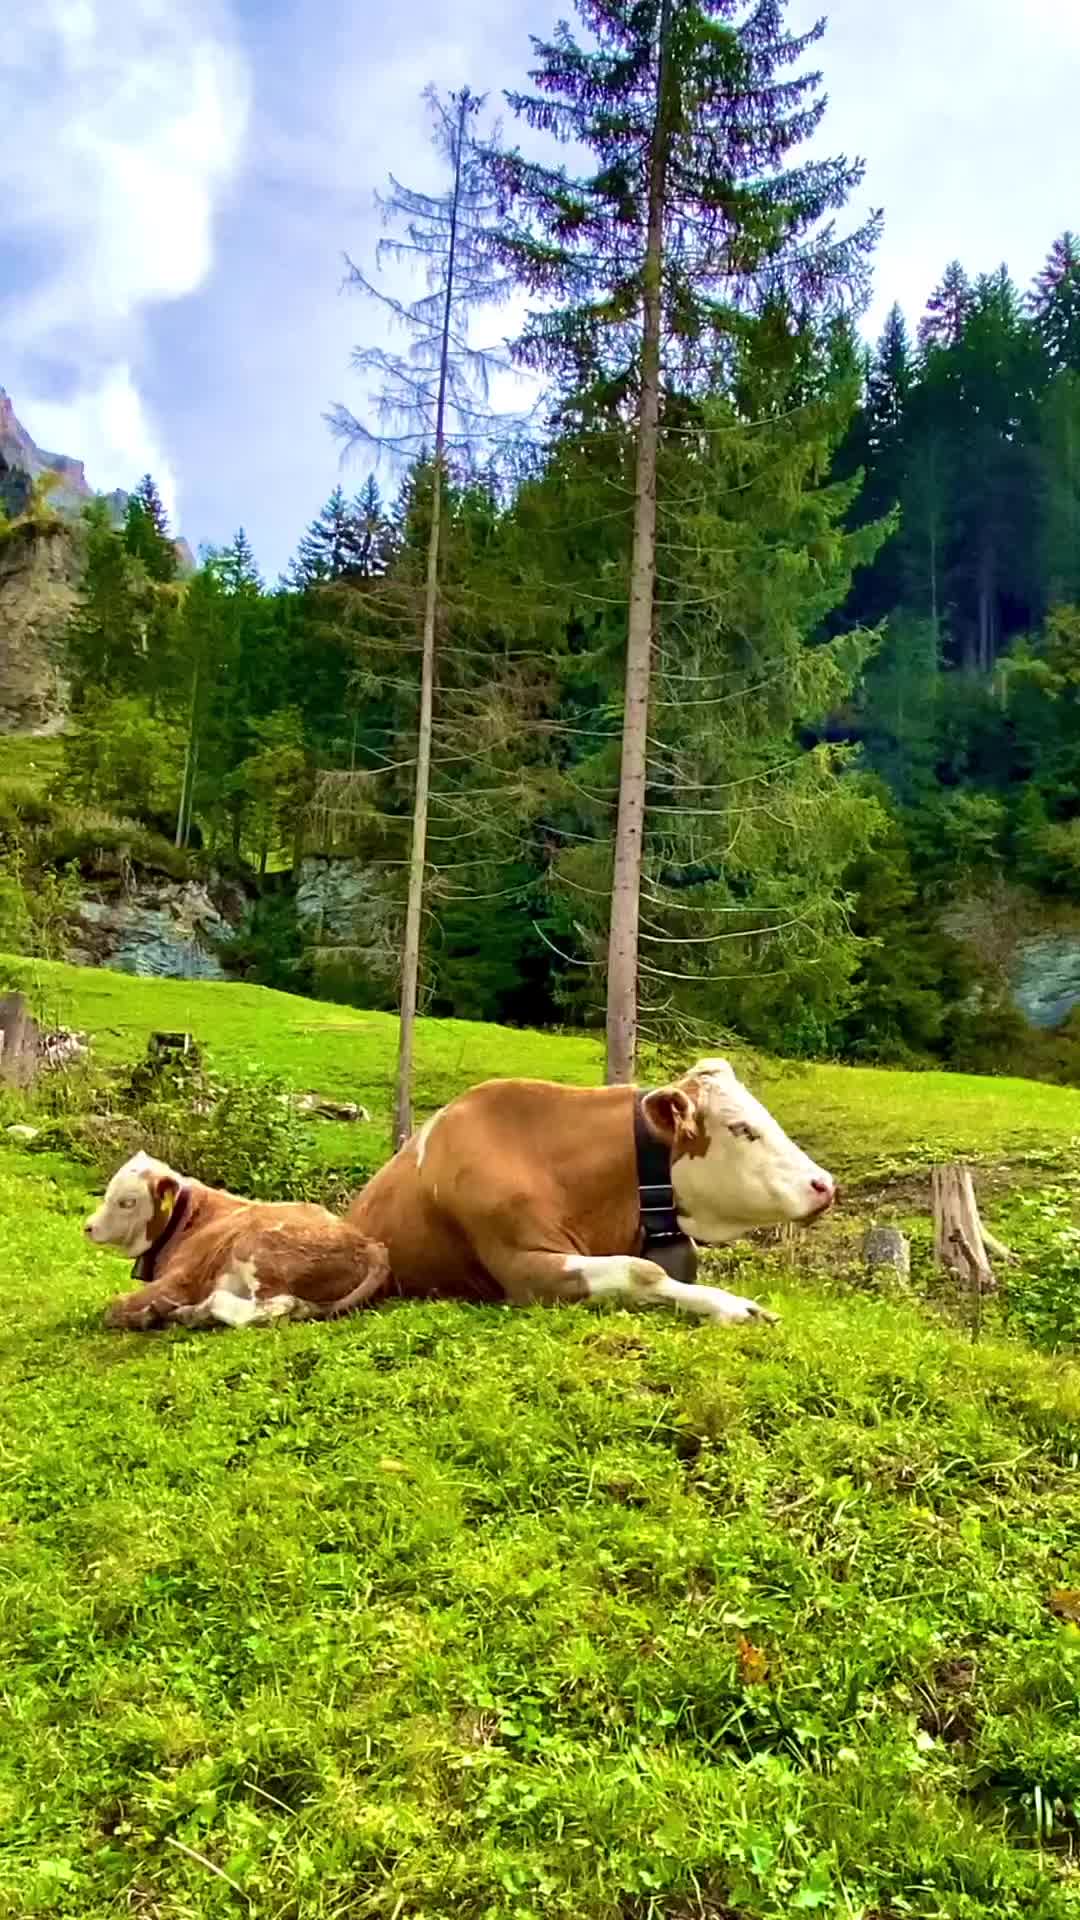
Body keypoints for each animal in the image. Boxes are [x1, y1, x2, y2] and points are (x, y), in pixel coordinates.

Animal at [85, 1144, 390, 1328]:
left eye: (127, 1202)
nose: (88, 1227)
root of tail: (370, 1244)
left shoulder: (182, 1280)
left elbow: (114, 1307)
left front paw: (145, 1314)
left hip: (255, 1248)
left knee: (275, 1304)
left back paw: (193, 1312)